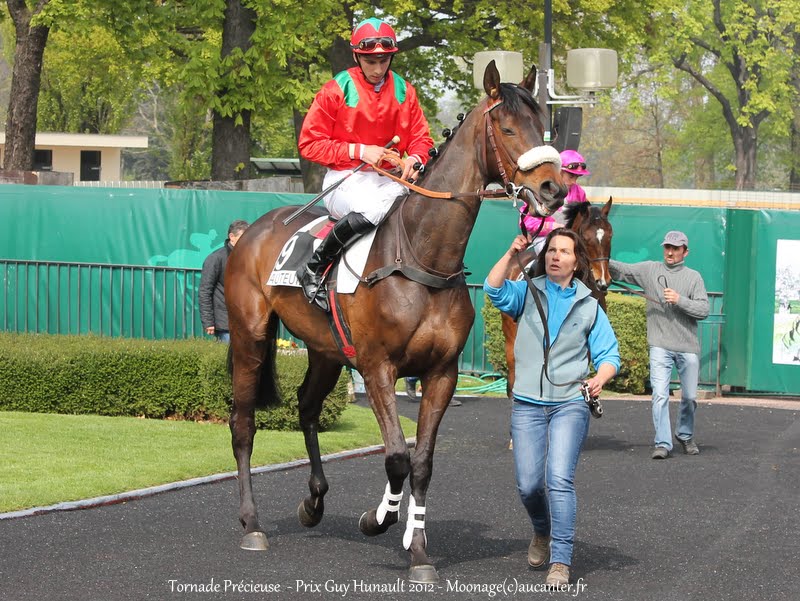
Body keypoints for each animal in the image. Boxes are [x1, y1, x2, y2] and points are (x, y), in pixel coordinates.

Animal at [222, 61, 564, 580]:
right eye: (507, 129)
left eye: (541, 124)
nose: (553, 189)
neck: (421, 258)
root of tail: (253, 231)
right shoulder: (377, 369)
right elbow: (398, 457)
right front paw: (378, 519)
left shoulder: (441, 373)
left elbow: (421, 462)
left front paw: (418, 550)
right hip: (251, 336)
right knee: (243, 424)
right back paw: (252, 524)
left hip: (325, 350)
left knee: (306, 407)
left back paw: (314, 503)